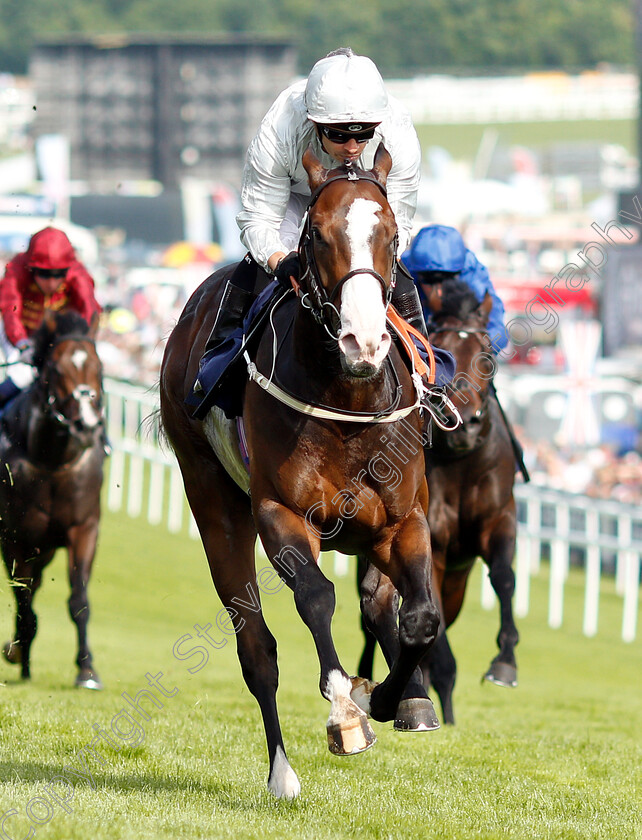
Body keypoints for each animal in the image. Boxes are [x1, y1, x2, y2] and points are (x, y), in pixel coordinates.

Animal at [0, 308, 106, 688]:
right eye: (57, 370)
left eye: (99, 367)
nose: (87, 424)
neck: (53, 460)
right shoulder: (15, 537)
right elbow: (23, 597)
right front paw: (16, 650)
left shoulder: (84, 527)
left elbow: (79, 599)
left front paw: (87, 670)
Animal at [160, 146, 440, 800]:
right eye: (317, 234)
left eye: (391, 234)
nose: (363, 341)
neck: (349, 401)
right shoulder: (280, 513)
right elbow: (315, 597)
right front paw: (347, 712)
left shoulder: (403, 519)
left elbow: (419, 617)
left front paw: (393, 697)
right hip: (211, 496)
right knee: (257, 649)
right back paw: (282, 774)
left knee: (379, 601)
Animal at [358, 278, 516, 724]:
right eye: (440, 350)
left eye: (486, 353)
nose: (465, 425)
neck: (462, 462)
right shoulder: (436, 546)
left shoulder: (500, 520)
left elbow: (504, 577)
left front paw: (505, 662)